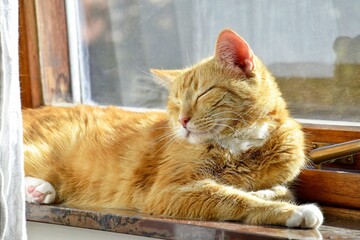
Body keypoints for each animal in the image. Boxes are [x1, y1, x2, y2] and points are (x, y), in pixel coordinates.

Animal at [25, 29, 324, 228]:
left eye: (203, 94)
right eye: (177, 103)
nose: (182, 120)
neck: (239, 148)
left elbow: (282, 189)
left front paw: (266, 192)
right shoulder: (170, 191)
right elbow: (233, 198)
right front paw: (292, 211)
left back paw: (38, 191)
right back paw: (38, 188)